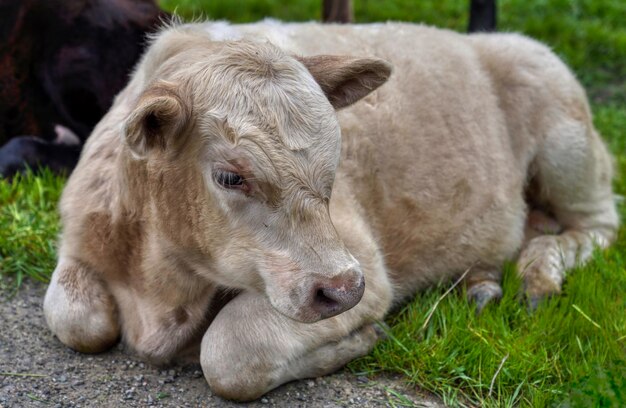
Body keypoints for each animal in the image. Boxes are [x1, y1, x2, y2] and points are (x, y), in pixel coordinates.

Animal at [42, 20, 616, 400]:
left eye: (335, 164)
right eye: (230, 176)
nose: (341, 289)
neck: (159, 287)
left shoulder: (367, 269)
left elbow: (230, 351)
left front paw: (361, 340)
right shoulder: (80, 239)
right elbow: (72, 315)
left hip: (567, 145)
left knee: (596, 226)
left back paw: (538, 275)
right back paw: (480, 282)